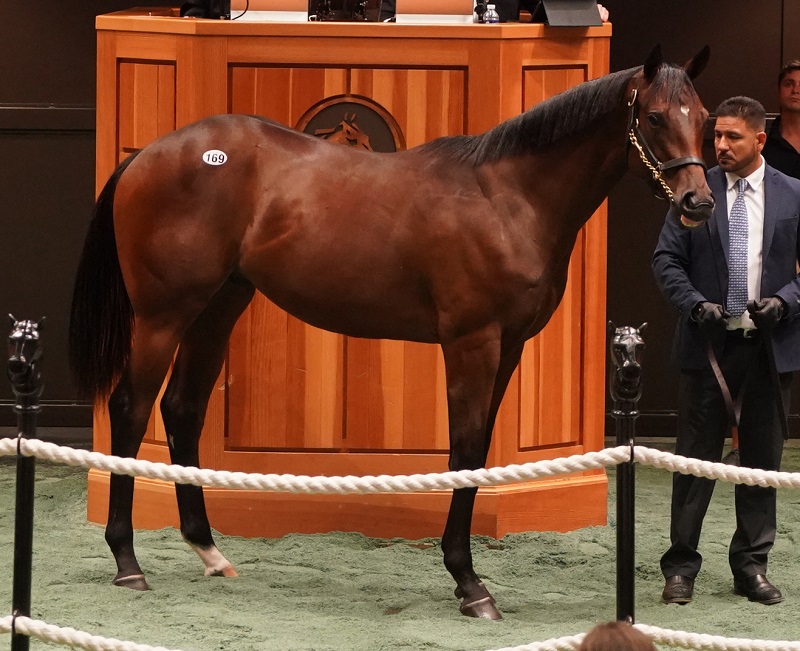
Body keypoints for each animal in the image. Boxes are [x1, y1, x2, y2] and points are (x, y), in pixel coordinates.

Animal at [70, 43, 712, 620]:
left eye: (703, 117)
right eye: (655, 117)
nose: (698, 203)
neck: (509, 198)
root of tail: (147, 155)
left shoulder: (508, 347)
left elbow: (481, 451)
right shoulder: (472, 342)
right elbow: (466, 447)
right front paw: (469, 583)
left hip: (217, 308)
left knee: (182, 410)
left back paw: (209, 552)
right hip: (163, 315)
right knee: (131, 410)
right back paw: (127, 562)